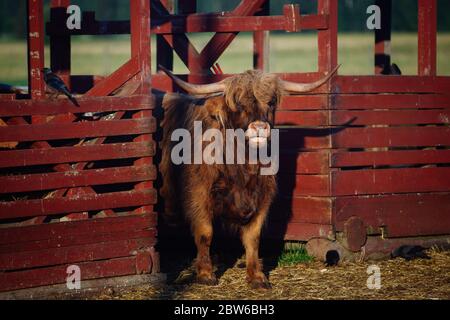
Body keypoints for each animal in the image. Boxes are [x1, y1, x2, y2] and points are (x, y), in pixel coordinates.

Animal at [158, 66, 338, 288]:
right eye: (239, 103)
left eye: (270, 102)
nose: (260, 127)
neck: (243, 163)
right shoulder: (198, 195)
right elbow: (205, 233)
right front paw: (206, 274)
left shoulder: (262, 198)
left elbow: (253, 237)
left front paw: (257, 276)